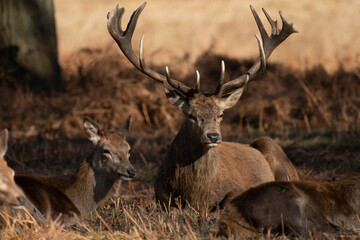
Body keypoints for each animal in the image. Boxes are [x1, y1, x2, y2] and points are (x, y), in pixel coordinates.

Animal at [107, 2, 298, 209]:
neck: (197, 195)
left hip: (275, 151)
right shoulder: (161, 196)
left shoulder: (238, 188)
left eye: (221, 114)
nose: (213, 136)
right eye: (191, 114)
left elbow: (226, 202)